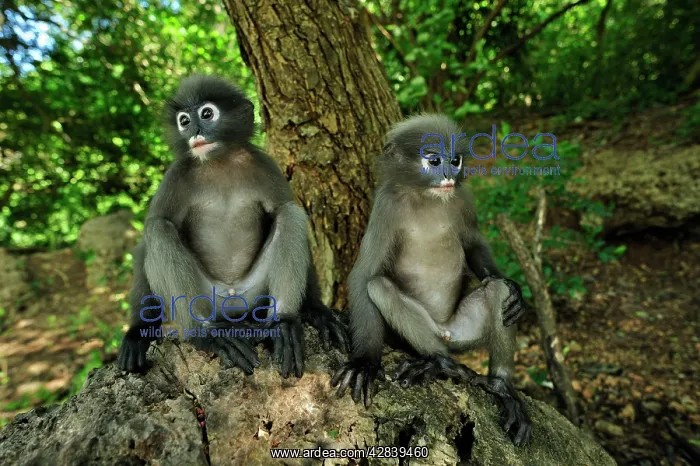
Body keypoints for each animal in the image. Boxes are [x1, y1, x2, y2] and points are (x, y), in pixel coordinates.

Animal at [116, 75, 348, 379]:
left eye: (206, 114)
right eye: (183, 121)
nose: (194, 131)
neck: (219, 162)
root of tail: (232, 300)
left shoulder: (266, 167)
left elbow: (282, 208)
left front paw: (316, 310)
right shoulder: (174, 176)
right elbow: (149, 237)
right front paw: (137, 331)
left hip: (255, 292)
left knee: (290, 213)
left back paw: (283, 324)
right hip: (207, 297)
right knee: (158, 230)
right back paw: (209, 334)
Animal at [331, 114, 531, 446]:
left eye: (455, 160)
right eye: (434, 161)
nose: (449, 174)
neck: (427, 197)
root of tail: (445, 331)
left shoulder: (463, 199)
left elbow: (474, 243)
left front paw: (514, 287)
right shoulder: (386, 206)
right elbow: (364, 275)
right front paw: (365, 361)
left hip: (464, 332)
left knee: (499, 291)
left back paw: (502, 386)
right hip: (430, 335)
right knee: (379, 287)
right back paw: (439, 362)